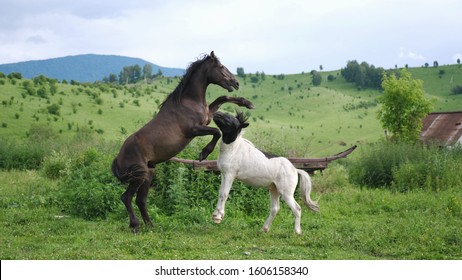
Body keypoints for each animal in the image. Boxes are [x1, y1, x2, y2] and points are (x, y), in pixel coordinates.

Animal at [113, 50, 254, 232]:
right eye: (221, 67)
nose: (235, 83)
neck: (188, 102)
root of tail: (118, 158)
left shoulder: (207, 117)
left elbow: (222, 98)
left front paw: (247, 103)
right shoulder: (194, 130)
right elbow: (216, 132)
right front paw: (203, 154)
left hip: (148, 174)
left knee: (140, 200)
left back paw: (151, 226)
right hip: (139, 176)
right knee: (126, 198)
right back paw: (135, 226)